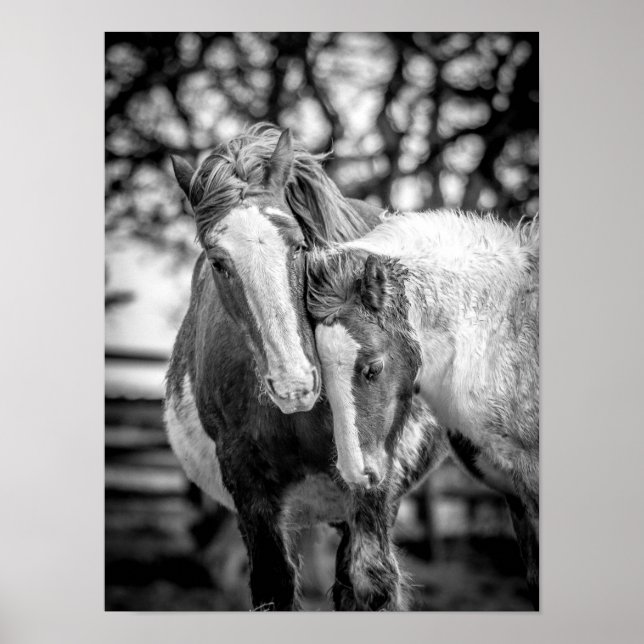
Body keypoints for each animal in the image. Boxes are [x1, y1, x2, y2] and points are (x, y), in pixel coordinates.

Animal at [163, 124, 446, 610]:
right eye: (219, 263)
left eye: (298, 246)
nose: (294, 385)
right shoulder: (245, 478)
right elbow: (273, 584)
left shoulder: (374, 476)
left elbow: (370, 583)